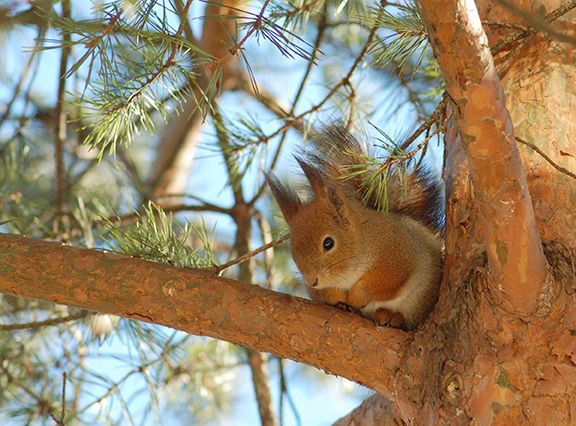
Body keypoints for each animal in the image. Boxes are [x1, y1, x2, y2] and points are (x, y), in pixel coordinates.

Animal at [268, 125, 444, 332]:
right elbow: (323, 295)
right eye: (293, 249)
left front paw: (355, 297)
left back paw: (393, 317)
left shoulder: (399, 256)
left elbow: (384, 283)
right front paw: (338, 298)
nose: (313, 280)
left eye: (328, 243)